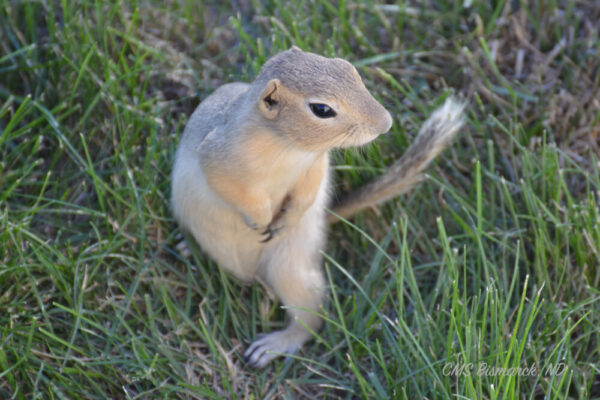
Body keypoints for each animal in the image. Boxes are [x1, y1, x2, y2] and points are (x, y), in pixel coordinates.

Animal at [171, 45, 466, 368]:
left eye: (349, 68)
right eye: (322, 109)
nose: (386, 123)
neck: (287, 148)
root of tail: (249, 275)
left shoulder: (315, 165)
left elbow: (306, 193)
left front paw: (284, 221)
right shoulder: (217, 158)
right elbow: (232, 189)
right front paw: (260, 218)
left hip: (291, 270)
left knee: (311, 320)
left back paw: (273, 345)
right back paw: (188, 246)